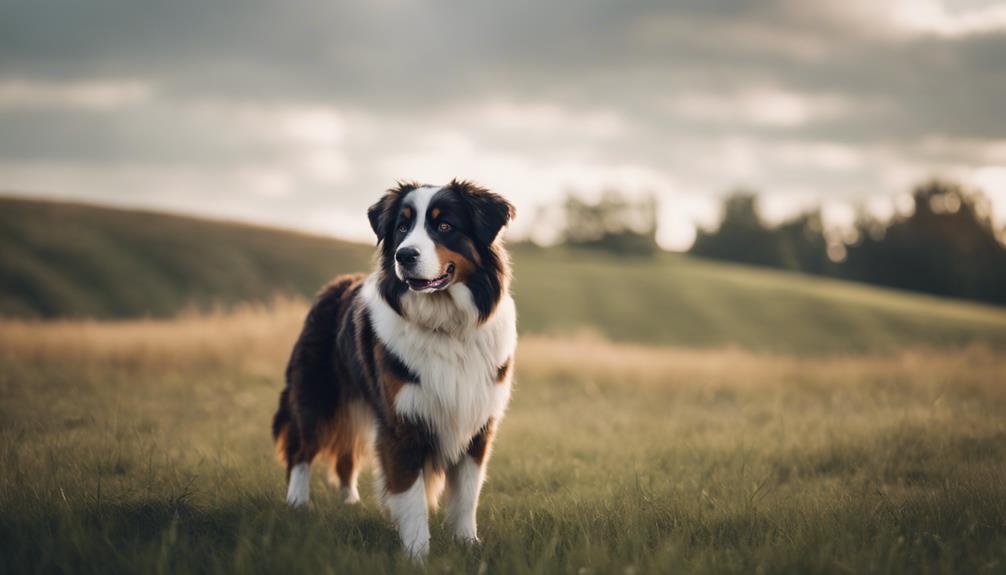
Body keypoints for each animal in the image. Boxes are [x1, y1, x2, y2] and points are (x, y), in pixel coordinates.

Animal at [271, 178, 515, 558]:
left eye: (445, 226)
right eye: (402, 228)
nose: (404, 255)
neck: (446, 326)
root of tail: (335, 285)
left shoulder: (476, 422)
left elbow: (466, 496)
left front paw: (467, 544)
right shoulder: (402, 422)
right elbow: (410, 495)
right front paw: (417, 554)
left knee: (346, 454)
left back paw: (350, 502)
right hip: (317, 395)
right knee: (301, 449)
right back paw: (297, 503)